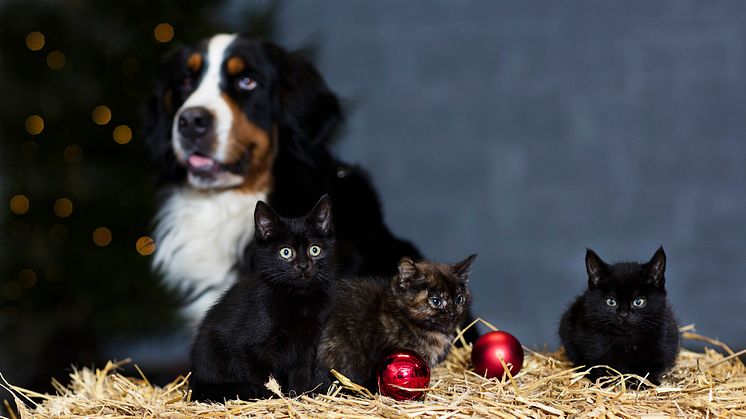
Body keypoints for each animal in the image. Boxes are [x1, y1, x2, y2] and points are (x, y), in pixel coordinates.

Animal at [189, 195, 338, 402]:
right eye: (285, 252)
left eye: (314, 250)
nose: (303, 266)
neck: (297, 298)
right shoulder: (251, 348)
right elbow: (265, 380)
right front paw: (274, 400)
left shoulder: (307, 346)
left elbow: (301, 375)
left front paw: (298, 399)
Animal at [556, 248, 676, 386]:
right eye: (611, 302)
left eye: (638, 302)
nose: (623, 314)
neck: (627, 340)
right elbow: (599, 368)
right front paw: (604, 382)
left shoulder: (664, 341)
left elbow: (651, 369)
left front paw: (646, 382)